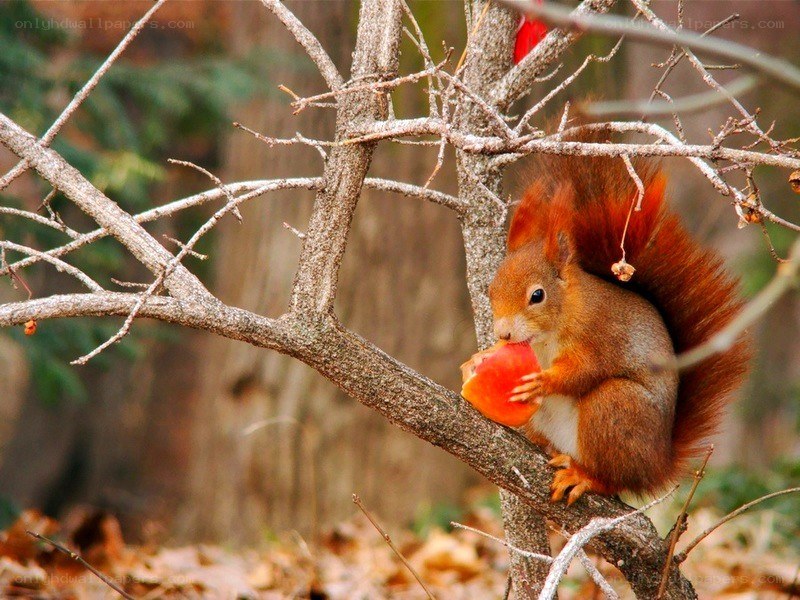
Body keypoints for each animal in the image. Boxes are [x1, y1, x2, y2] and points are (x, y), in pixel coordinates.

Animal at [488, 138, 751, 505]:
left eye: (537, 295)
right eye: (490, 290)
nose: (504, 333)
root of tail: (656, 466)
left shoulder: (601, 334)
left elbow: (584, 370)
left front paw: (545, 381)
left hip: (615, 408)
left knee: (612, 477)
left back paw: (585, 477)